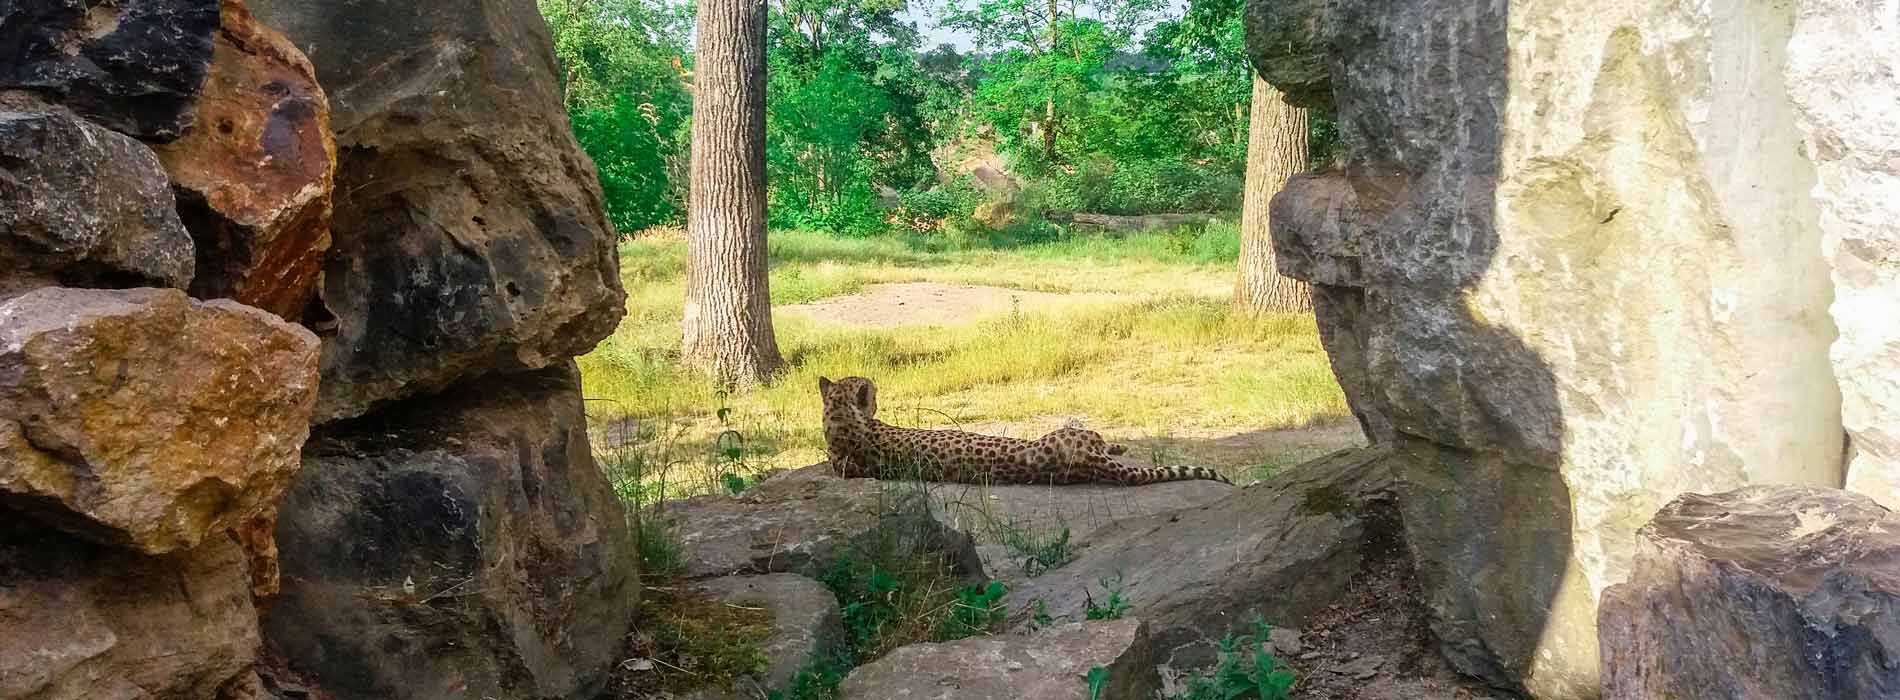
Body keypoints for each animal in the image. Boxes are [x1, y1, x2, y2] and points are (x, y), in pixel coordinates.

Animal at [817, 376, 1231, 486]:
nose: (876, 394)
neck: (840, 423)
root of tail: (1085, 461)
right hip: (1077, 435)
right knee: (1099, 438)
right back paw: (1117, 447)